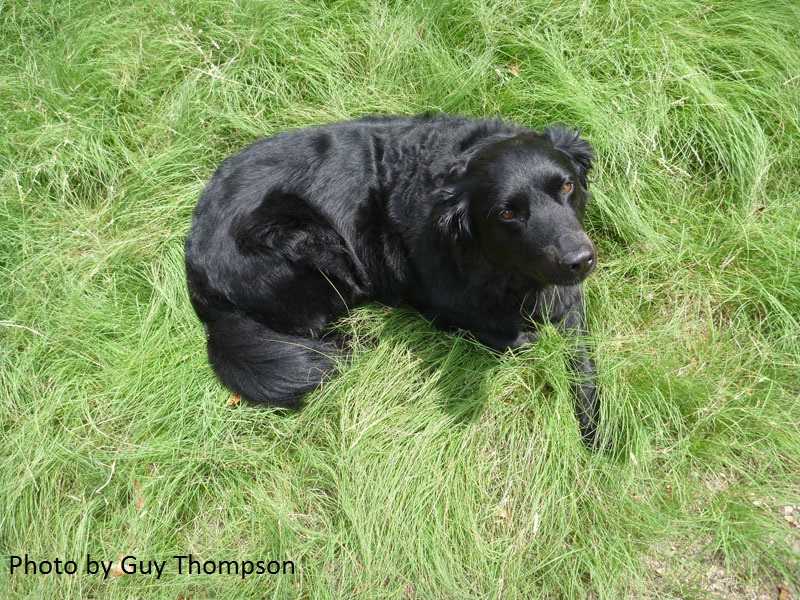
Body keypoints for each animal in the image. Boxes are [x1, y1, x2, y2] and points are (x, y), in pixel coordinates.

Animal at [186, 115, 600, 446]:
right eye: (507, 213)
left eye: (566, 187)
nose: (580, 261)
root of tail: (198, 281)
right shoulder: (430, 300)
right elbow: (507, 336)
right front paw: (524, 337)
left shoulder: (569, 300)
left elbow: (583, 364)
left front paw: (596, 432)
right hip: (317, 246)